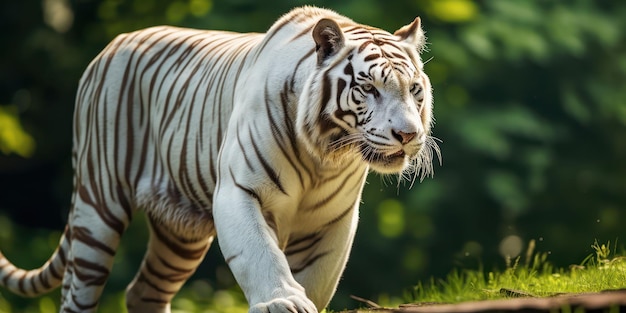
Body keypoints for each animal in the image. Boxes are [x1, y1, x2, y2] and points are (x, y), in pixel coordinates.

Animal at [0, 5, 434, 312]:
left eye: (414, 89)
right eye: (369, 88)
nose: (408, 135)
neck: (326, 156)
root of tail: (111, 45)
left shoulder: (333, 218)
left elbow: (316, 275)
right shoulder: (241, 191)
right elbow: (259, 253)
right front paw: (283, 300)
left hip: (180, 234)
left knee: (143, 291)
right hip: (98, 205)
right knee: (77, 291)